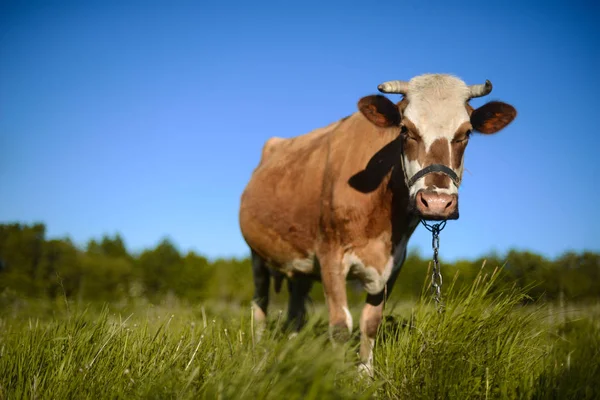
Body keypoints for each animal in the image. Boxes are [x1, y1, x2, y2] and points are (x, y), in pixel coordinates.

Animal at [238, 73, 516, 374]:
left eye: (466, 133)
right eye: (405, 130)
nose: (436, 202)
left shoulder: (394, 263)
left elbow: (371, 323)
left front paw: (365, 375)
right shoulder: (329, 255)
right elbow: (340, 326)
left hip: (299, 265)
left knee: (295, 312)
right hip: (257, 255)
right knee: (260, 305)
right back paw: (258, 352)